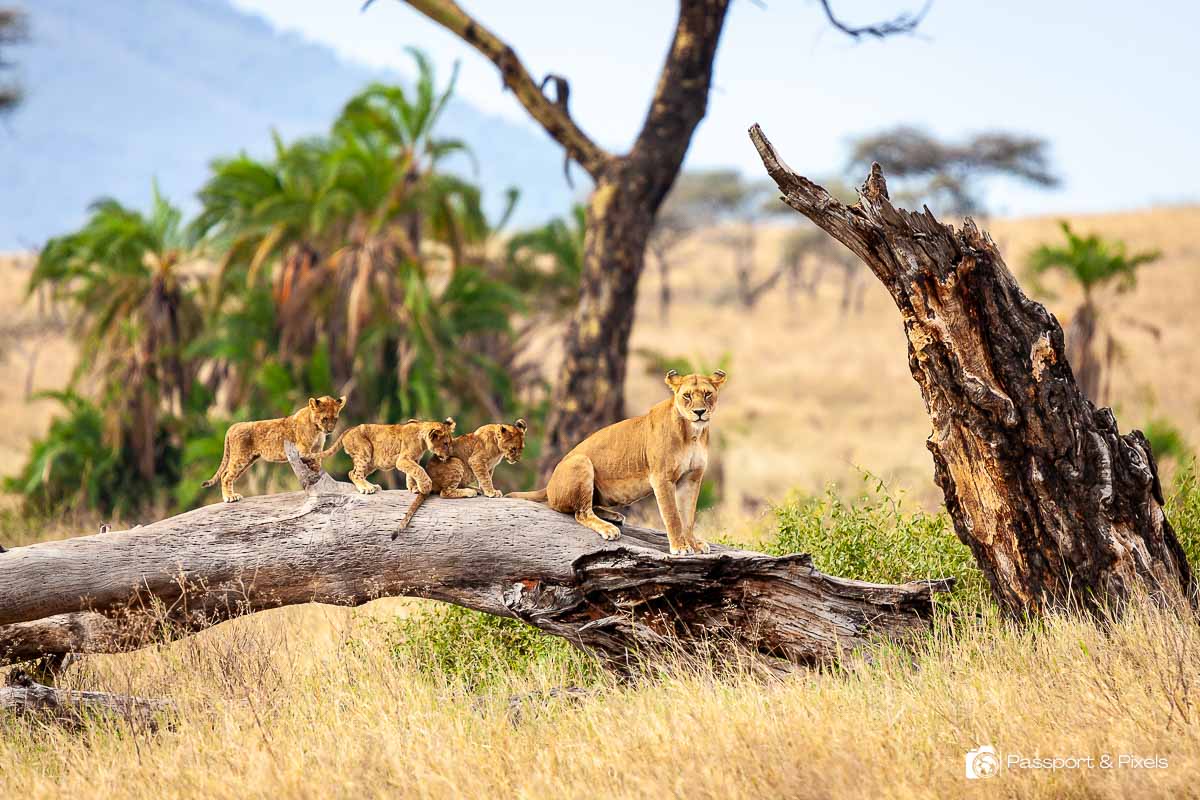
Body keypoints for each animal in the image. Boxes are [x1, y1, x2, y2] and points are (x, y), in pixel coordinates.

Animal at [203, 395, 347, 503]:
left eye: (335, 419)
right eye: (324, 419)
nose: (330, 430)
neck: (317, 429)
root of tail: (235, 425)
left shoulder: (316, 449)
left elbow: (317, 464)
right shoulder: (303, 451)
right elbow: (311, 463)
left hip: (248, 460)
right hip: (240, 458)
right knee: (225, 475)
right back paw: (230, 497)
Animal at [509, 370, 727, 555]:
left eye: (707, 394)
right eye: (687, 396)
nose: (699, 412)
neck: (693, 434)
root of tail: (548, 485)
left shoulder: (692, 478)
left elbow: (688, 516)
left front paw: (694, 543)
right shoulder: (662, 478)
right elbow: (673, 515)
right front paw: (680, 547)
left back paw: (613, 516)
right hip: (581, 461)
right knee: (581, 512)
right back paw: (609, 528)